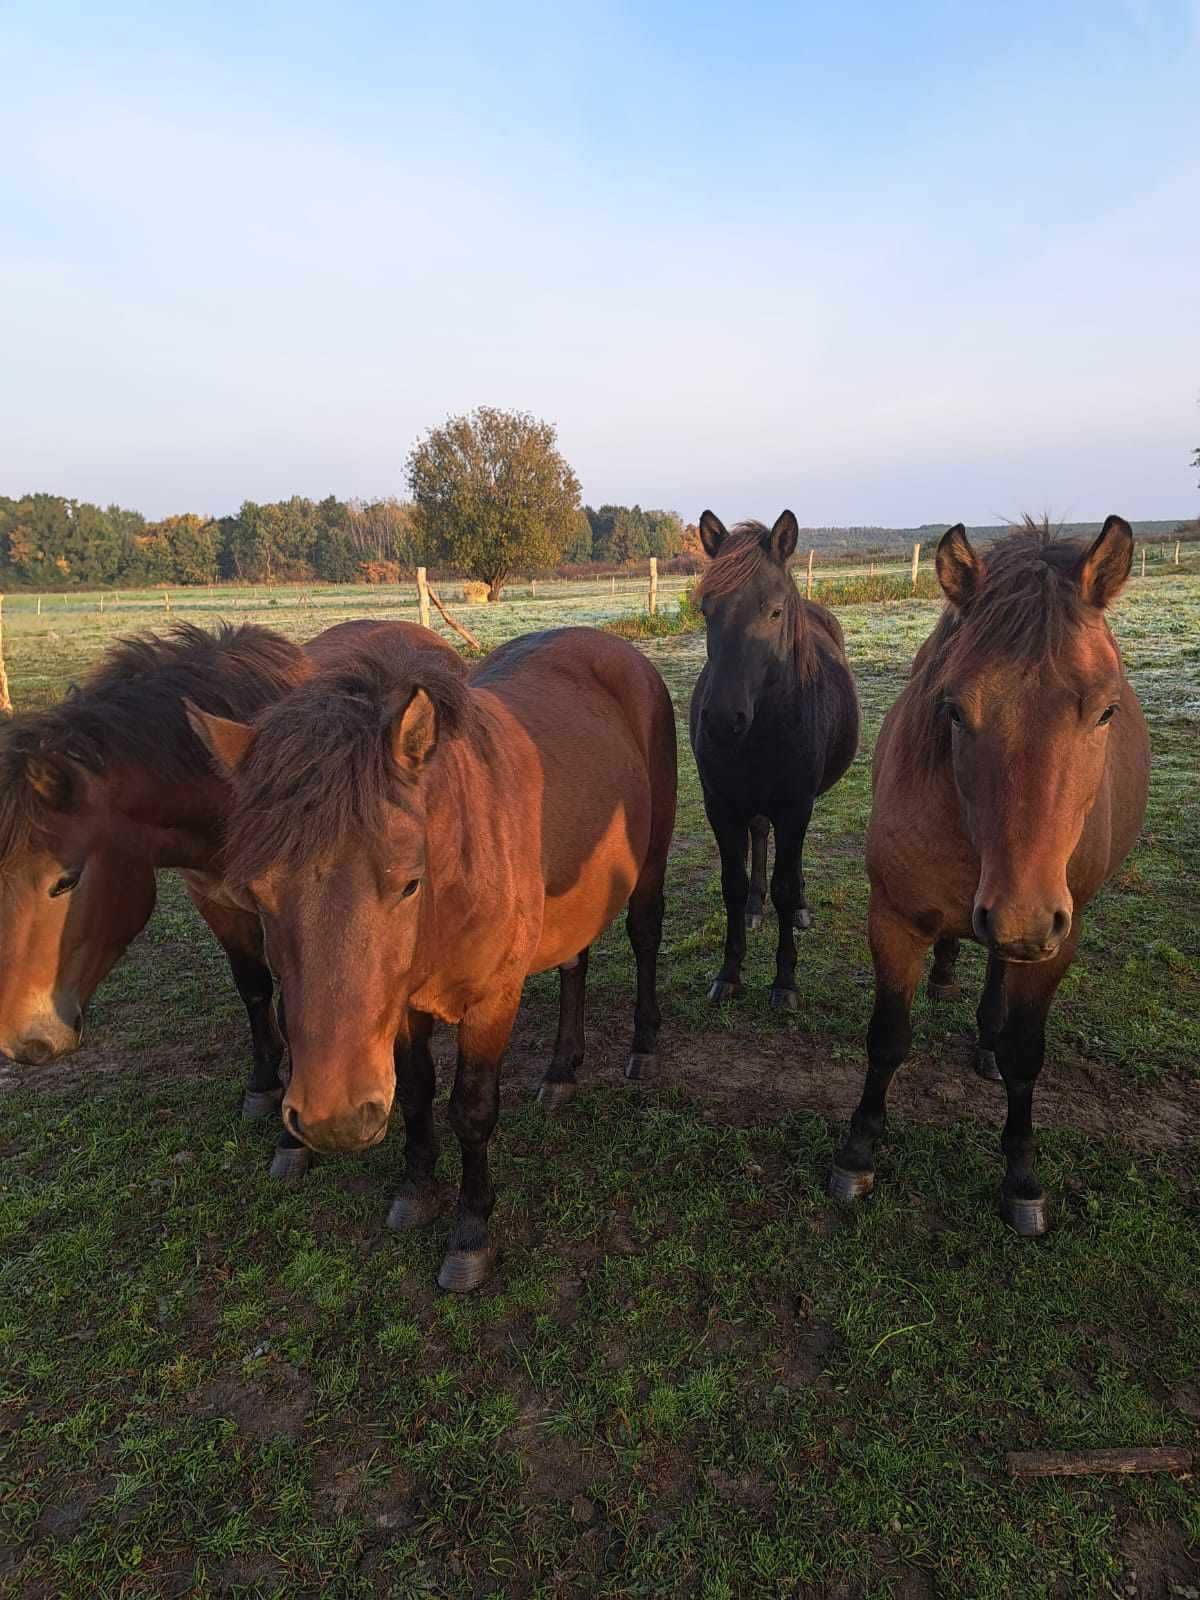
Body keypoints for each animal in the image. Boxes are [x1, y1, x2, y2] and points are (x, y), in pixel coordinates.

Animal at [188, 624, 678, 1286]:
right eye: (257, 892)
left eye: (408, 883)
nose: (331, 1119)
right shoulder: (400, 1009)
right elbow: (417, 1093)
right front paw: (416, 1191)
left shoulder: (493, 1001)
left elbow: (470, 1109)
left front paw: (470, 1234)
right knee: (574, 964)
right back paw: (560, 1072)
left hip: (649, 864)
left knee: (645, 937)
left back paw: (643, 1048)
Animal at [684, 512, 864, 1004]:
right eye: (706, 610)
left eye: (775, 611)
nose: (723, 718)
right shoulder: (721, 805)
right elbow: (731, 884)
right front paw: (729, 971)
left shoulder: (795, 804)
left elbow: (785, 884)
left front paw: (785, 981)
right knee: (761, 836)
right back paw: (754, 906)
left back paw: (799, 908)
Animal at [832, 521, 1152, 1235]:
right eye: (954, 709)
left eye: (1106, 712)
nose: (1020, 915)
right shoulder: (893, 918)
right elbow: (887, 1038)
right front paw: (858, 1152)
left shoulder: (1058, 938)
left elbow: (1025, 1055)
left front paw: (1022, 1180)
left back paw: (985, 1037)